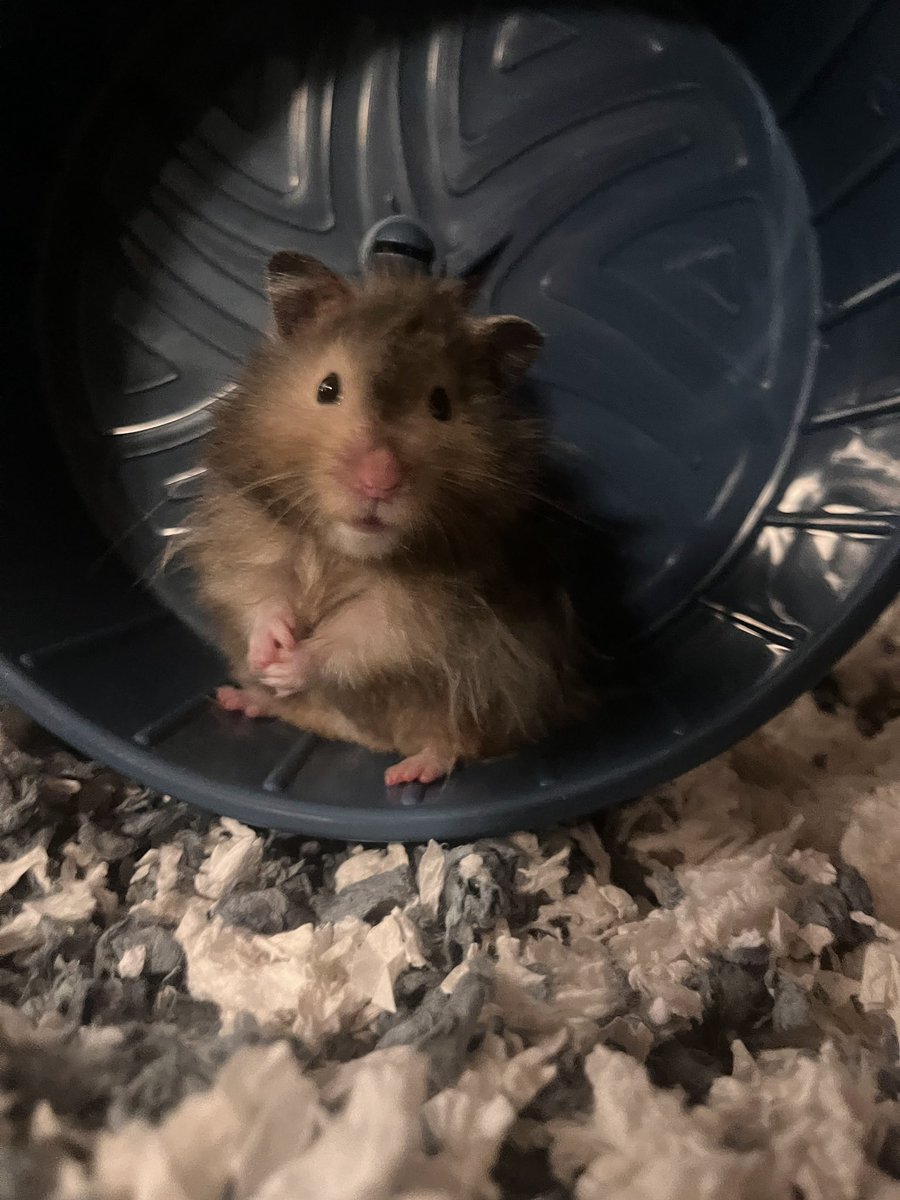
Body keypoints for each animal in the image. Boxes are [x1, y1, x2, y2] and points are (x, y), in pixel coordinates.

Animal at [186, 251, 592, 786]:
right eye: (327, 387)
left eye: (441, 404)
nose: (379, 481)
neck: (344, 552)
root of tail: (363, 740)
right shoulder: (245, 535)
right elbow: (261, 593)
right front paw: (269, 653)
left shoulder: (422, 613)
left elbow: (358, 639)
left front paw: (289, 664)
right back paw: (242, 697)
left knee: (452, 744)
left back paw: (406, 773)